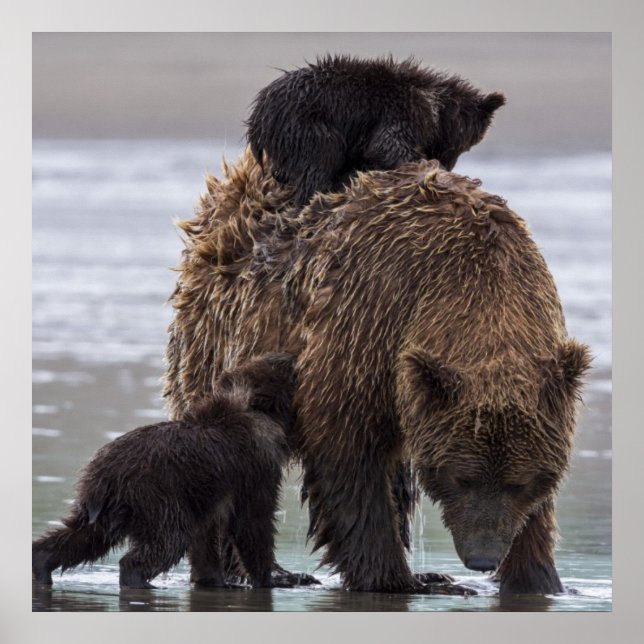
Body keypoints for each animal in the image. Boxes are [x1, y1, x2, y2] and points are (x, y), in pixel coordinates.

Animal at [32, 352, 311, 590]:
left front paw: (213, 578)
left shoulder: (205, 495)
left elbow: (206, 537)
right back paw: (139, 578)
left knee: (83, 537)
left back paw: (41, 563)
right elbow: (253, 522)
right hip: (155, 495)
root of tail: (104, 477)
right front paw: (275, 578)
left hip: (101, 504)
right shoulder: (253, 467)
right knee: (168, 540)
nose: (290, 354)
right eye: (289, 370)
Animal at [163, 151, 591, 594]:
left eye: (520, 481)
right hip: (217, 345)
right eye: (461, 478)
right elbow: (348, 455)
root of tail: (233, 180)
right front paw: (395, 578)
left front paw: (537, 577)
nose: (482, 558)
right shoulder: (365, 322)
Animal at [246, 55, 505, 205]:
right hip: (307, 122)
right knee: (321, 159)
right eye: (461, 145)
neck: (437, 108)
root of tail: (259, 113)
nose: (448, 165)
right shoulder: (402, 111)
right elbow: (388, 146)